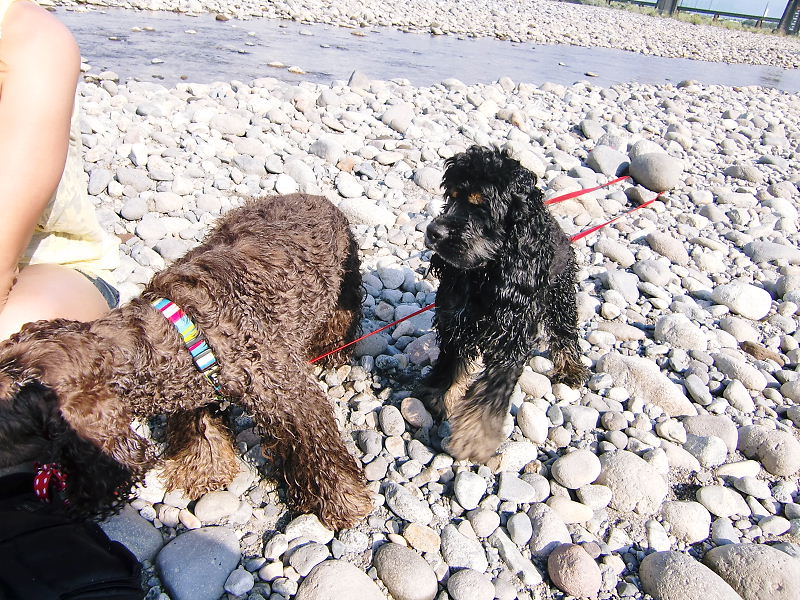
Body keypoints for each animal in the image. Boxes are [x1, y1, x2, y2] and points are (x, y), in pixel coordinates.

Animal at [0, 193, 373, 529]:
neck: (181, 329)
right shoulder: (196, 388)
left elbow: (321, 456)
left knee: (341, 318)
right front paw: (202, 470)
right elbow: (200, 431)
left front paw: (344, 502)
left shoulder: (291, 399)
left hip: (345, 284)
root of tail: (315, 196)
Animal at [421, 146, 589, 463]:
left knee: (565, 331)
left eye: (482, 206)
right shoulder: (455, 322)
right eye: (453, 196)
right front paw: (437, 399)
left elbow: (492, 393)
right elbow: (450, 366)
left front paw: (474, 440)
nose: (433, 232)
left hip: (561, 292)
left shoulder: (512, 339)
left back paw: (572, 368)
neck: (484, 275)